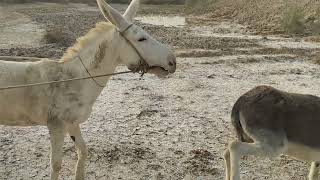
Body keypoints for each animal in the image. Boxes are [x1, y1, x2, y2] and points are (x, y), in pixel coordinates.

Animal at [0, 0, 176, 179]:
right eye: (141, 39)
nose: (172, 61)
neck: (74, 80)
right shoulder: (56, 126)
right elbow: (56, 164)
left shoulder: (73, 124)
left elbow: (83, 151)